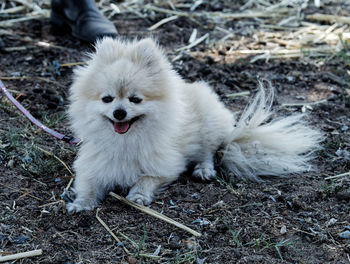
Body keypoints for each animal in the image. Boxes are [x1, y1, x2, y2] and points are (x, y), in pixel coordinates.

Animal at [65, 37, 322, 212]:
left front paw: (138, 195)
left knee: (207, 152)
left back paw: (203, 169)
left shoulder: (166, 167)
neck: (125, 141)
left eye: (135, 99)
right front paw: (81, 203)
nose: (119, 113)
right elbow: (87, 185)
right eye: (107, 99)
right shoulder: (93, 165)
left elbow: (146, 179)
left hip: (207, 126)